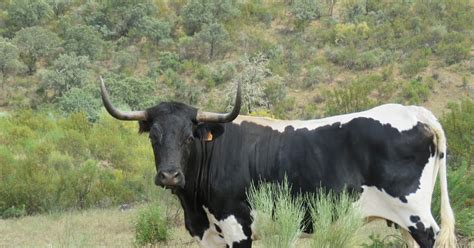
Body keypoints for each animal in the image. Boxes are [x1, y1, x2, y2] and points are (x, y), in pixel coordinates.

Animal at [99, 78, 456, 248]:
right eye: (153, 136)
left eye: (189, 137)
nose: (170, 175)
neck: (195, 208)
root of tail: (414, 111)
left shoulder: (237, 229)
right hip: (403, 222)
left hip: (417, 218)